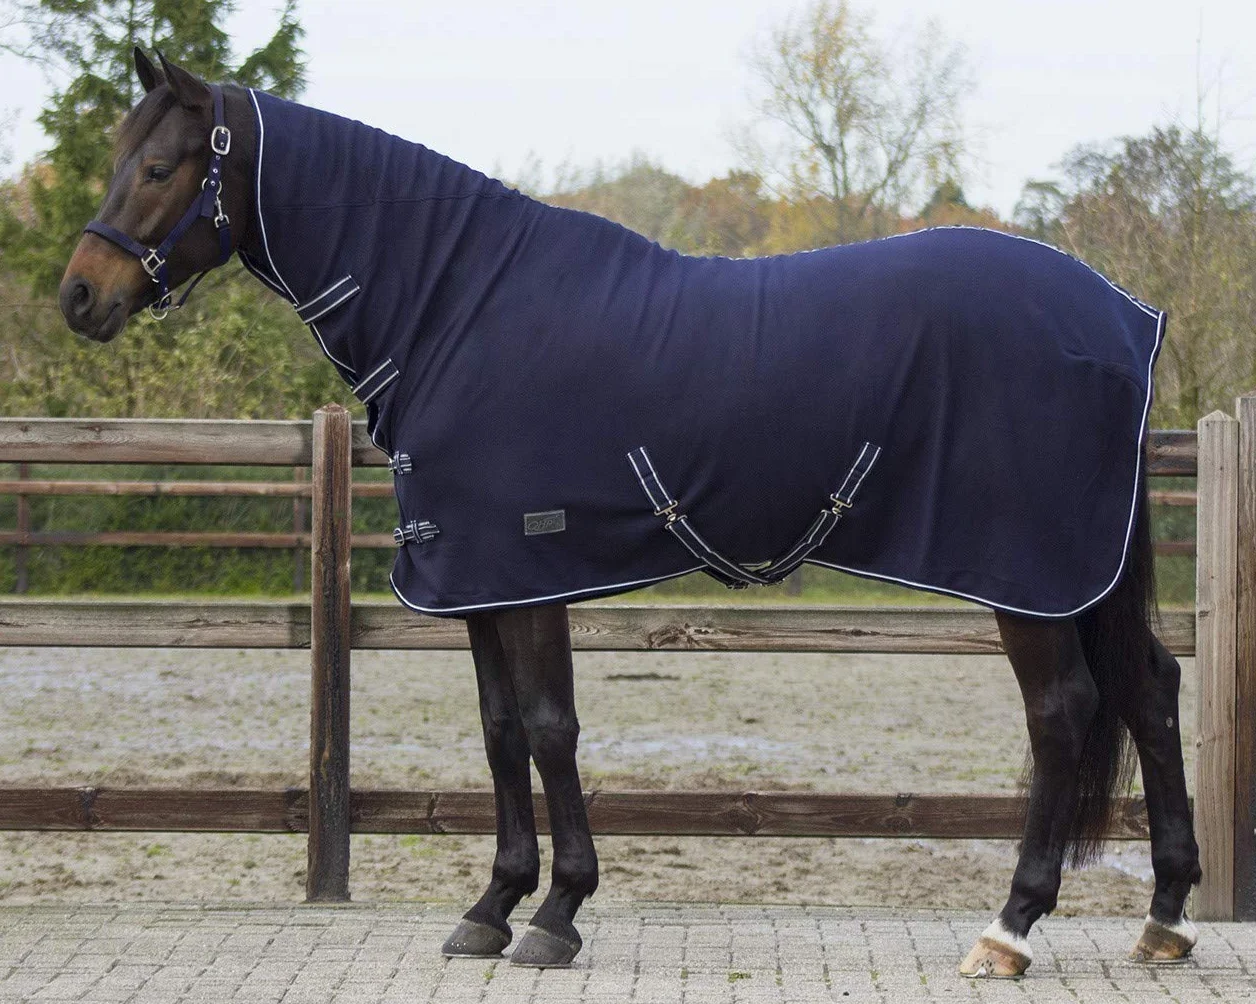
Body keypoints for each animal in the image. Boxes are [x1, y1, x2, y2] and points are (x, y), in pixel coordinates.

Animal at [58, 49, 1201, 975]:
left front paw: (555, 913)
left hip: (1027, 575)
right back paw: (1165, 917)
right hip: (1080, 574)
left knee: (1064, 713)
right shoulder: (477, 580)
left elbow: (549, 727)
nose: (80, 295)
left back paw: (1009, 927)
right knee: (1147, 688)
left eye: (161, 167)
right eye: (121, 157)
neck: (455, 309)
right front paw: (492, 904)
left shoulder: (532, 569)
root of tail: (1123, 318)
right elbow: (498, 731)